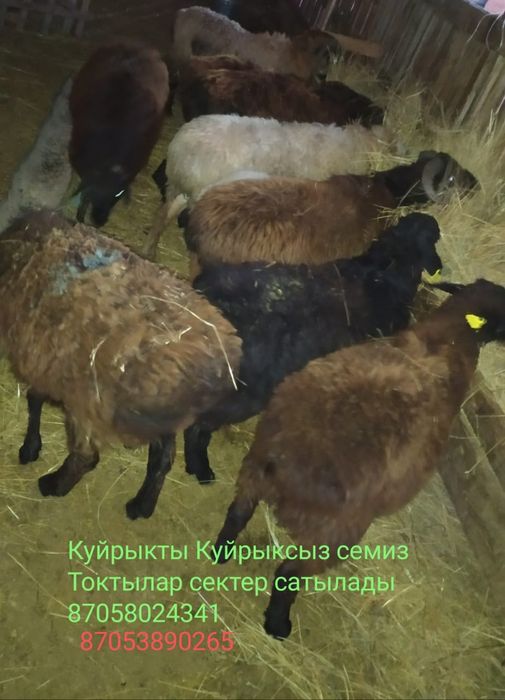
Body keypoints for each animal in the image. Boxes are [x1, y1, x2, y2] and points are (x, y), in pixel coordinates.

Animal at [1, 210, 241, 520]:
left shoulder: (45, 359)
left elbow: (34, 400)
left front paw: (30, 448)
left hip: (94, 400)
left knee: (87, 456)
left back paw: (53, 485)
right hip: (159, 412)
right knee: (163, 457)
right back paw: (141, 506)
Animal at [144, 115, 392, 259]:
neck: (353, 150)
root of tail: (182, 143)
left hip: (183, 186)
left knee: (165, 212)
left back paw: (150, 249)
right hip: (200, 188)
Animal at [183, 213, 442, 484]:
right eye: (431, 237)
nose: (430, 219)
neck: (386, 271)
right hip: (242, 393)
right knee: (197, 425)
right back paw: (201, 470)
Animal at [213, 278, 505, 639]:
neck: (448, 338)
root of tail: (284, 462)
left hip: (252, 468)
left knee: (238, 512)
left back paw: (220, 552)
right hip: (335, 531)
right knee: (288, 572)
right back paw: (278, 624)